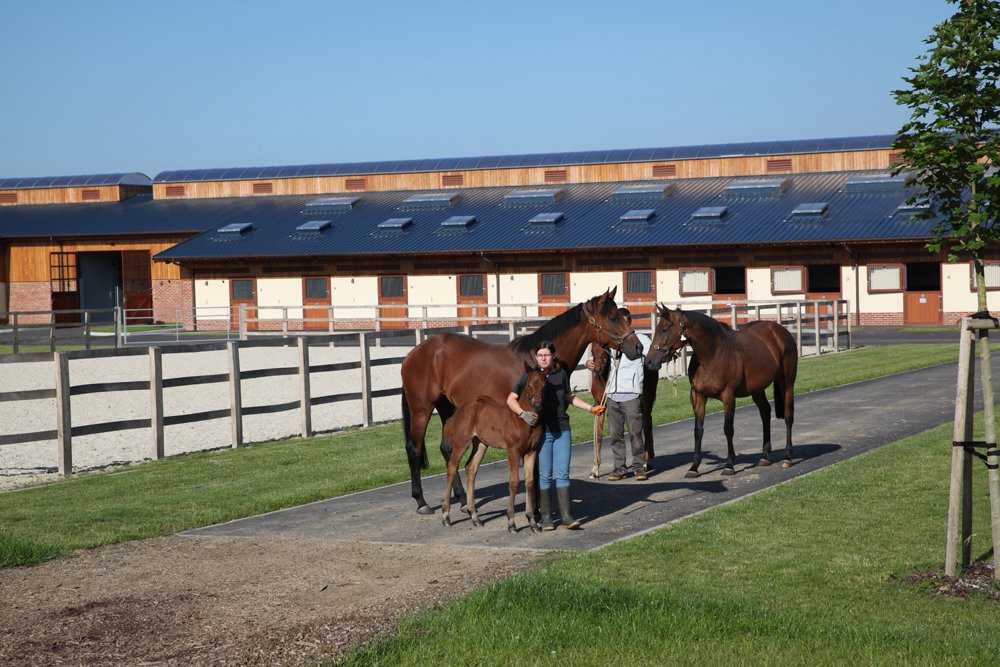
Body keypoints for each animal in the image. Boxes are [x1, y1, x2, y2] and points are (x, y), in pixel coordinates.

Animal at [401, 287, 643, 514]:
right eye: (612, 317)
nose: (638, 347)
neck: (537, 363)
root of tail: (414, 353)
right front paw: (535, 510)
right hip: (422, 409)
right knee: (414, 449)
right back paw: (422, 503)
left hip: (449, 409)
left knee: (448, 450)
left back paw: (462, 500)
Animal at [440, 362, 551, 532]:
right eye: (529, 384)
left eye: (545, 385)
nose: (537, 404)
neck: (524, 420)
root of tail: (460, 409)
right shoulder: (513, 450)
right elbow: (514, 482)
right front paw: (511, 522)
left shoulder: (531, 451)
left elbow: (530, 482)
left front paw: (532, 521)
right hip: (461, 441)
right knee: (452, 467)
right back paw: (446, 516)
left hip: (480, 444)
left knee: (470, 468)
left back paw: (475, 517)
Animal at [644, 304, 797, 478]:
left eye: (664, 329)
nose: (649, 361)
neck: (712, 354)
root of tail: (780, 331)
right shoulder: (698, 396)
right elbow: (698, 430)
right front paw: (694, 467)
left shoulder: (728, 397)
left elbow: (728, 429)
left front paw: (729, 465)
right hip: (757, 389)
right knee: (765, 413)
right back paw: (765, 456)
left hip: (787, 383)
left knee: (788, 416)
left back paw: (787, 457)